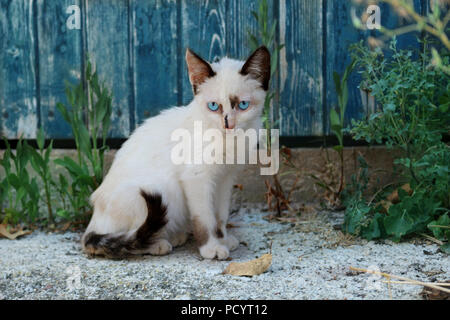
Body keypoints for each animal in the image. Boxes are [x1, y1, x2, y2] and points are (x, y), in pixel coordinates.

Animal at [81, 45, 270, 260]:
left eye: (243, 105)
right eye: (213, 106)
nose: (228, 124)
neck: (228, 140)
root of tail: (94, 220)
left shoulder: (225, 178)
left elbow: (220, 215)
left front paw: (223, 239)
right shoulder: (196, 177)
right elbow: (205, 218)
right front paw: (211, 248)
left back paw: (175, 236)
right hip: (162, 190)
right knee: (131, 235)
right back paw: (158, 244)